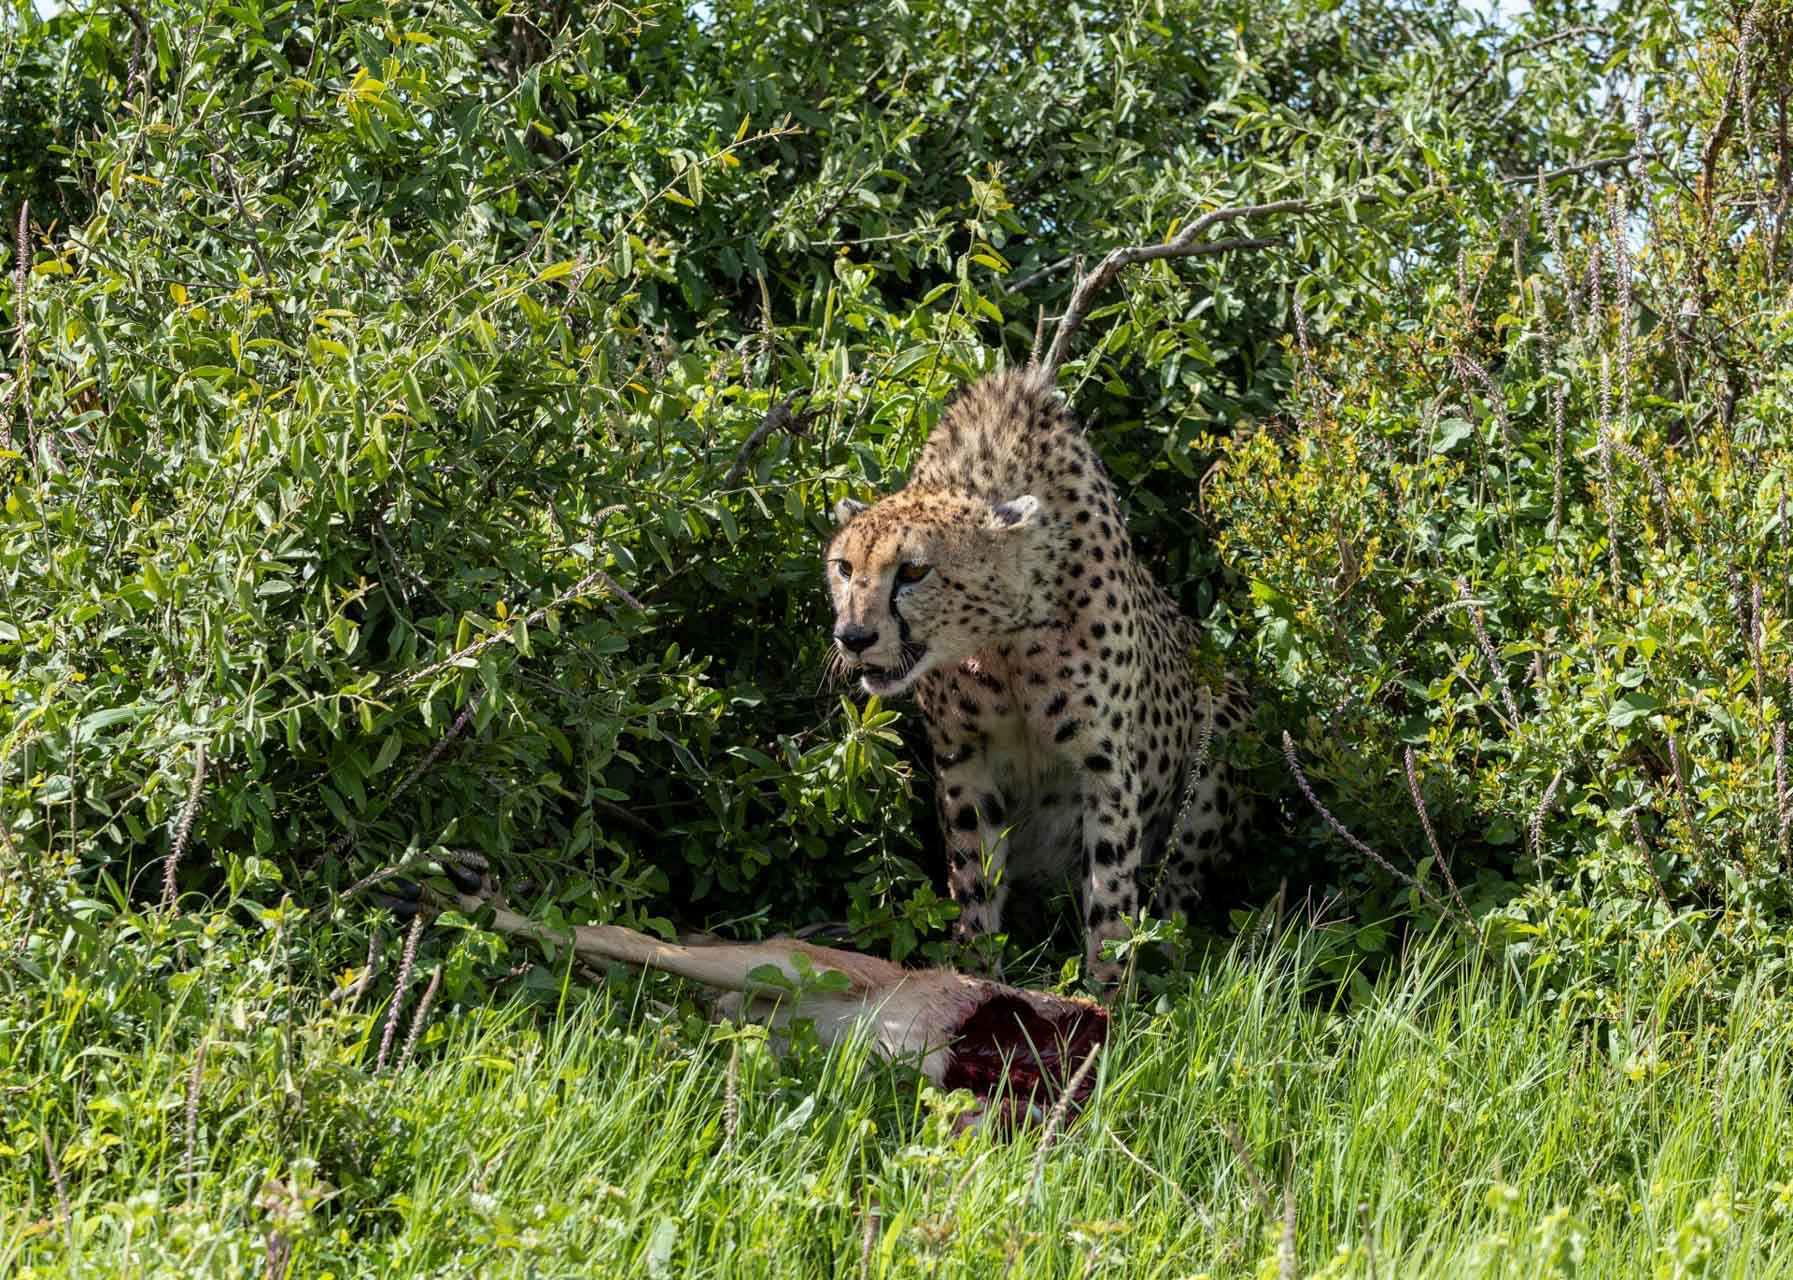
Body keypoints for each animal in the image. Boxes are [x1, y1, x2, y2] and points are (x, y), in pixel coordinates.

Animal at [824, 363, 1247, 982]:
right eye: (843, 567)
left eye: (915, 571)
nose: (853, 638)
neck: (1002, 639)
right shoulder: (964, 760)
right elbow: (974, 877)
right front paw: (978, 974)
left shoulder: (1106, 764)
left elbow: (1112, 892)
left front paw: (1107, 994)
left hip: (1224, 727)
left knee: (1174, 894)